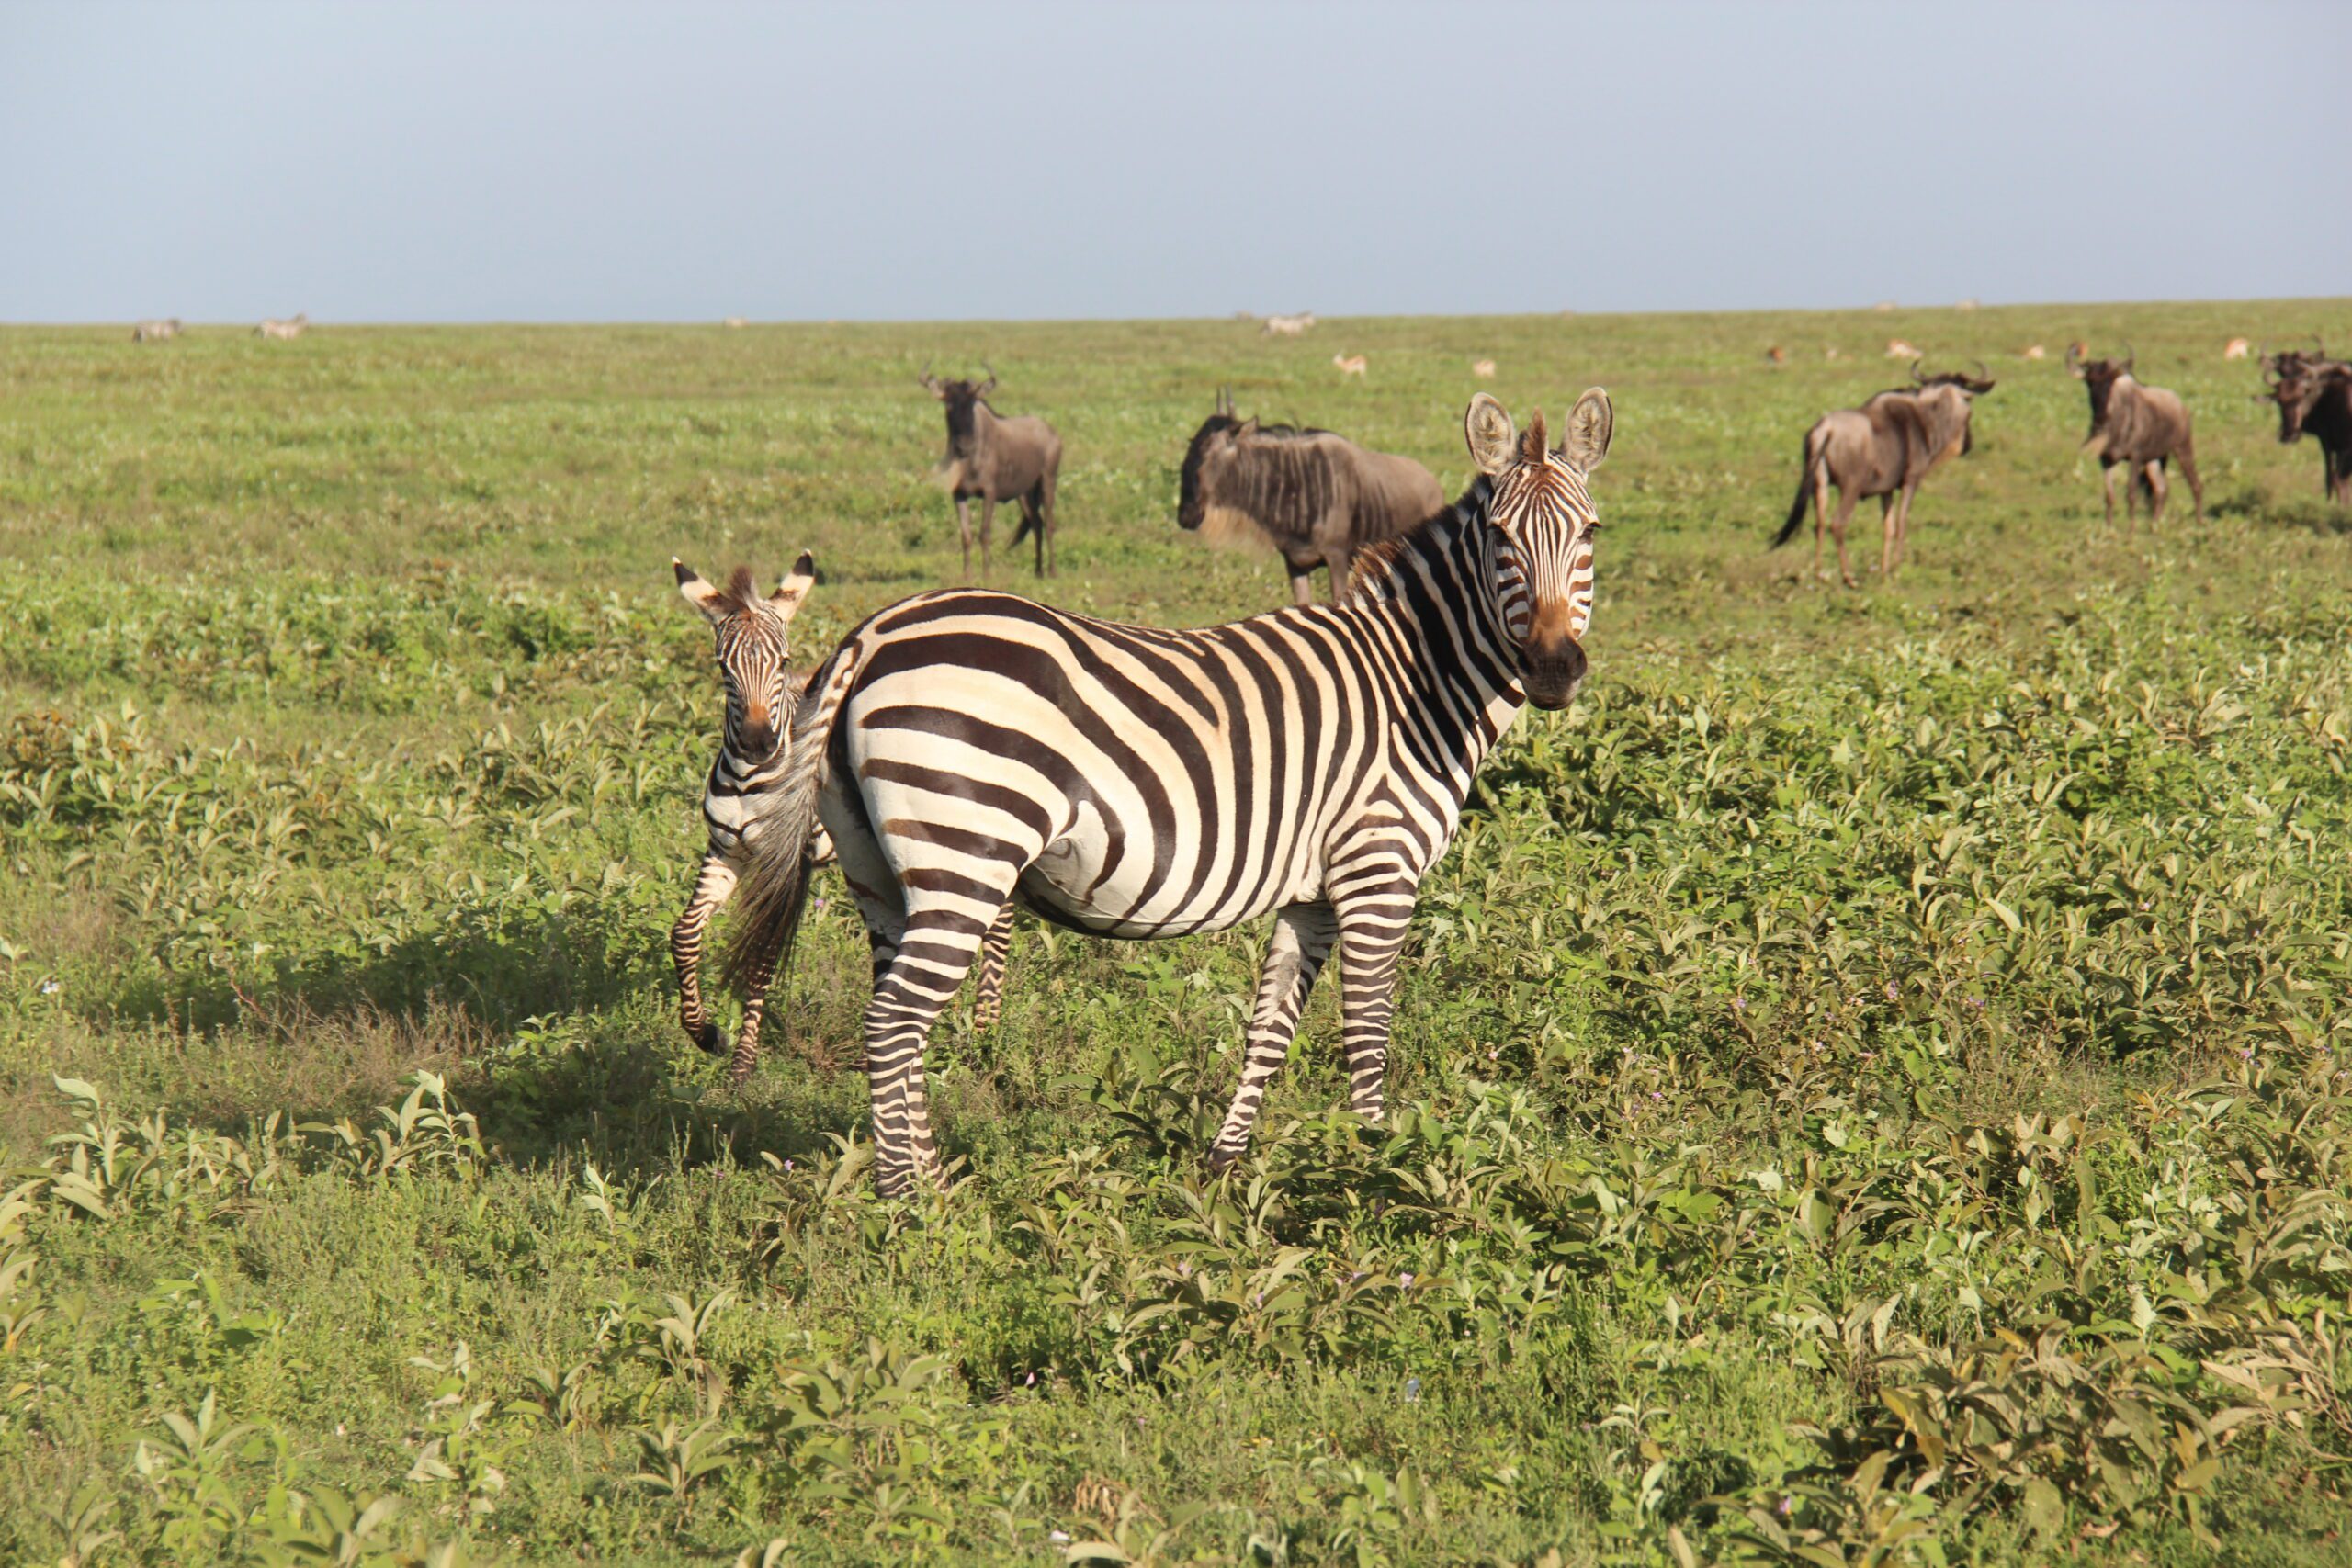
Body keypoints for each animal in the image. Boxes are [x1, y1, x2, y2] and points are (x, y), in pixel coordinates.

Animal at [673, 557, 1021, 1086]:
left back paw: (985, 1033)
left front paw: (743, 1065)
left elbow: (763, 957)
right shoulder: (725, 852)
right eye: (723, 668)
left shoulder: (788, 866)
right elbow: (685, 933)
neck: (750, 782)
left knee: (999, 922)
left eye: (785, 662)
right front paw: (704, 1033)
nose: (757, 743)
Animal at [729, 389, 1618, 1189]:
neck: (1413, 682)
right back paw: (909, 1206)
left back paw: (934, 1179)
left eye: (1590, 533)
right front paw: (1376, 1172)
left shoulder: (1312, 892)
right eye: (1499, 536)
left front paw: (1223, 1168)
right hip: (965, 853)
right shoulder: (1378, 867)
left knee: (896, 1016)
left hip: (880, 871)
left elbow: (1269, 1030)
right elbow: (1368, 1034)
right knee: (894, 1023)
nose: (1552, 668)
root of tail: (872, 634)